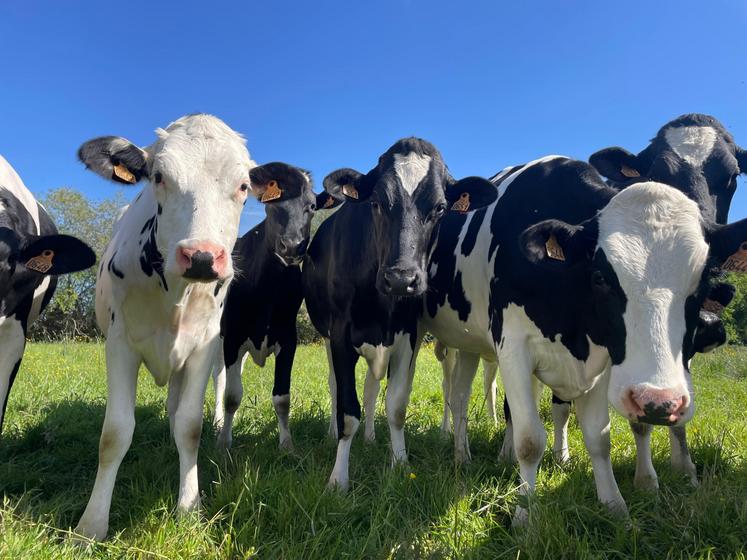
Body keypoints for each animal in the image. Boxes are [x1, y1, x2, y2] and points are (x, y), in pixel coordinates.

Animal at [73, 114, 256, 542]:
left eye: (244, 186)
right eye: (158, 176)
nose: (202, 256)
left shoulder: (203, 346)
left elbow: (189, 427)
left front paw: (189, 509)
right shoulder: (119, 344)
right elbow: (115, 433)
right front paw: (92, 524)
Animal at [212, 162, 341, 451]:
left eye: (311, 207)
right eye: (273, 206)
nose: (292, 246)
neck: (267, 288)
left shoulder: (287, 338)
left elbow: (282, 397)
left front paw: (287, 445)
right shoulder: (233, 336)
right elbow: (232, 395)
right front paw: (224, 443)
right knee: (218, 377)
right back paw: (217, 423)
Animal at [303, 138, 497, 491]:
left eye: (439, 208)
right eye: (377, 202)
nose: (401, 279)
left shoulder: (407, 334)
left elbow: (395, 405)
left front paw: (400, 463)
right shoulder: (341, 336)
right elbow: (347, 411)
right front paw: (338, 479)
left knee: (370, 387)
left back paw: (369, 437)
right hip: (326, 337)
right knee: (335, 386)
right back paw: (331, 435)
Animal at [423, 154, 747, 525]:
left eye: (703, 282)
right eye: (600, 277)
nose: (659, 402)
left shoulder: (604, 357)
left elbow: (598, 437)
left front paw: (615, 506)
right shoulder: (513, 347)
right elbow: (529, 440)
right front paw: (525, 514)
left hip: (469, 343)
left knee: (460, 395)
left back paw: (462, 454)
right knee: (457, 397)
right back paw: (460, 454)